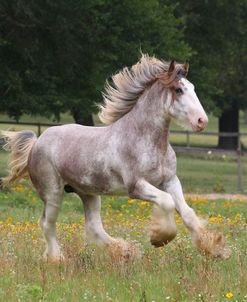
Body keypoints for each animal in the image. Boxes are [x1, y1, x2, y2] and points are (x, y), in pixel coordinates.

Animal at [1, 54, 232, 262]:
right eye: (178, 89)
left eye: (192, 87)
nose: (202, 121)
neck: (146, 140)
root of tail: (37, 142)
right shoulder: (136, 186)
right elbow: (166, 202)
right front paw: (159, 238)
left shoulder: (170, 181)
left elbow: (188, 213)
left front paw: (216, 249)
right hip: (53, 192)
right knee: (47, 224)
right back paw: (57, 259)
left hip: (88, 193)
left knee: (93, 226)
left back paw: (126, 252)